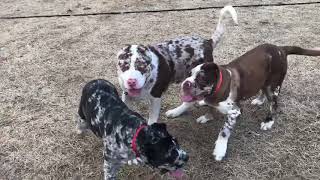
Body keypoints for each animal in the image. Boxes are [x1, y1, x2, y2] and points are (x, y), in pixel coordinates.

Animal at [166, 43, 320, 160]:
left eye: (202, 78)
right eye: (188, 74)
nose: (186, 83)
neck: (215, 91)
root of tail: (281, 48)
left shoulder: (235, 111)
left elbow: (224, 131)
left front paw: (220, 150)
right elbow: (189, 103)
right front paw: (180, 112)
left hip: (273, 86)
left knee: (274, 104)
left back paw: (268, 121)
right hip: (263, 80)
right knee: (263, 92)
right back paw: (259, 100)